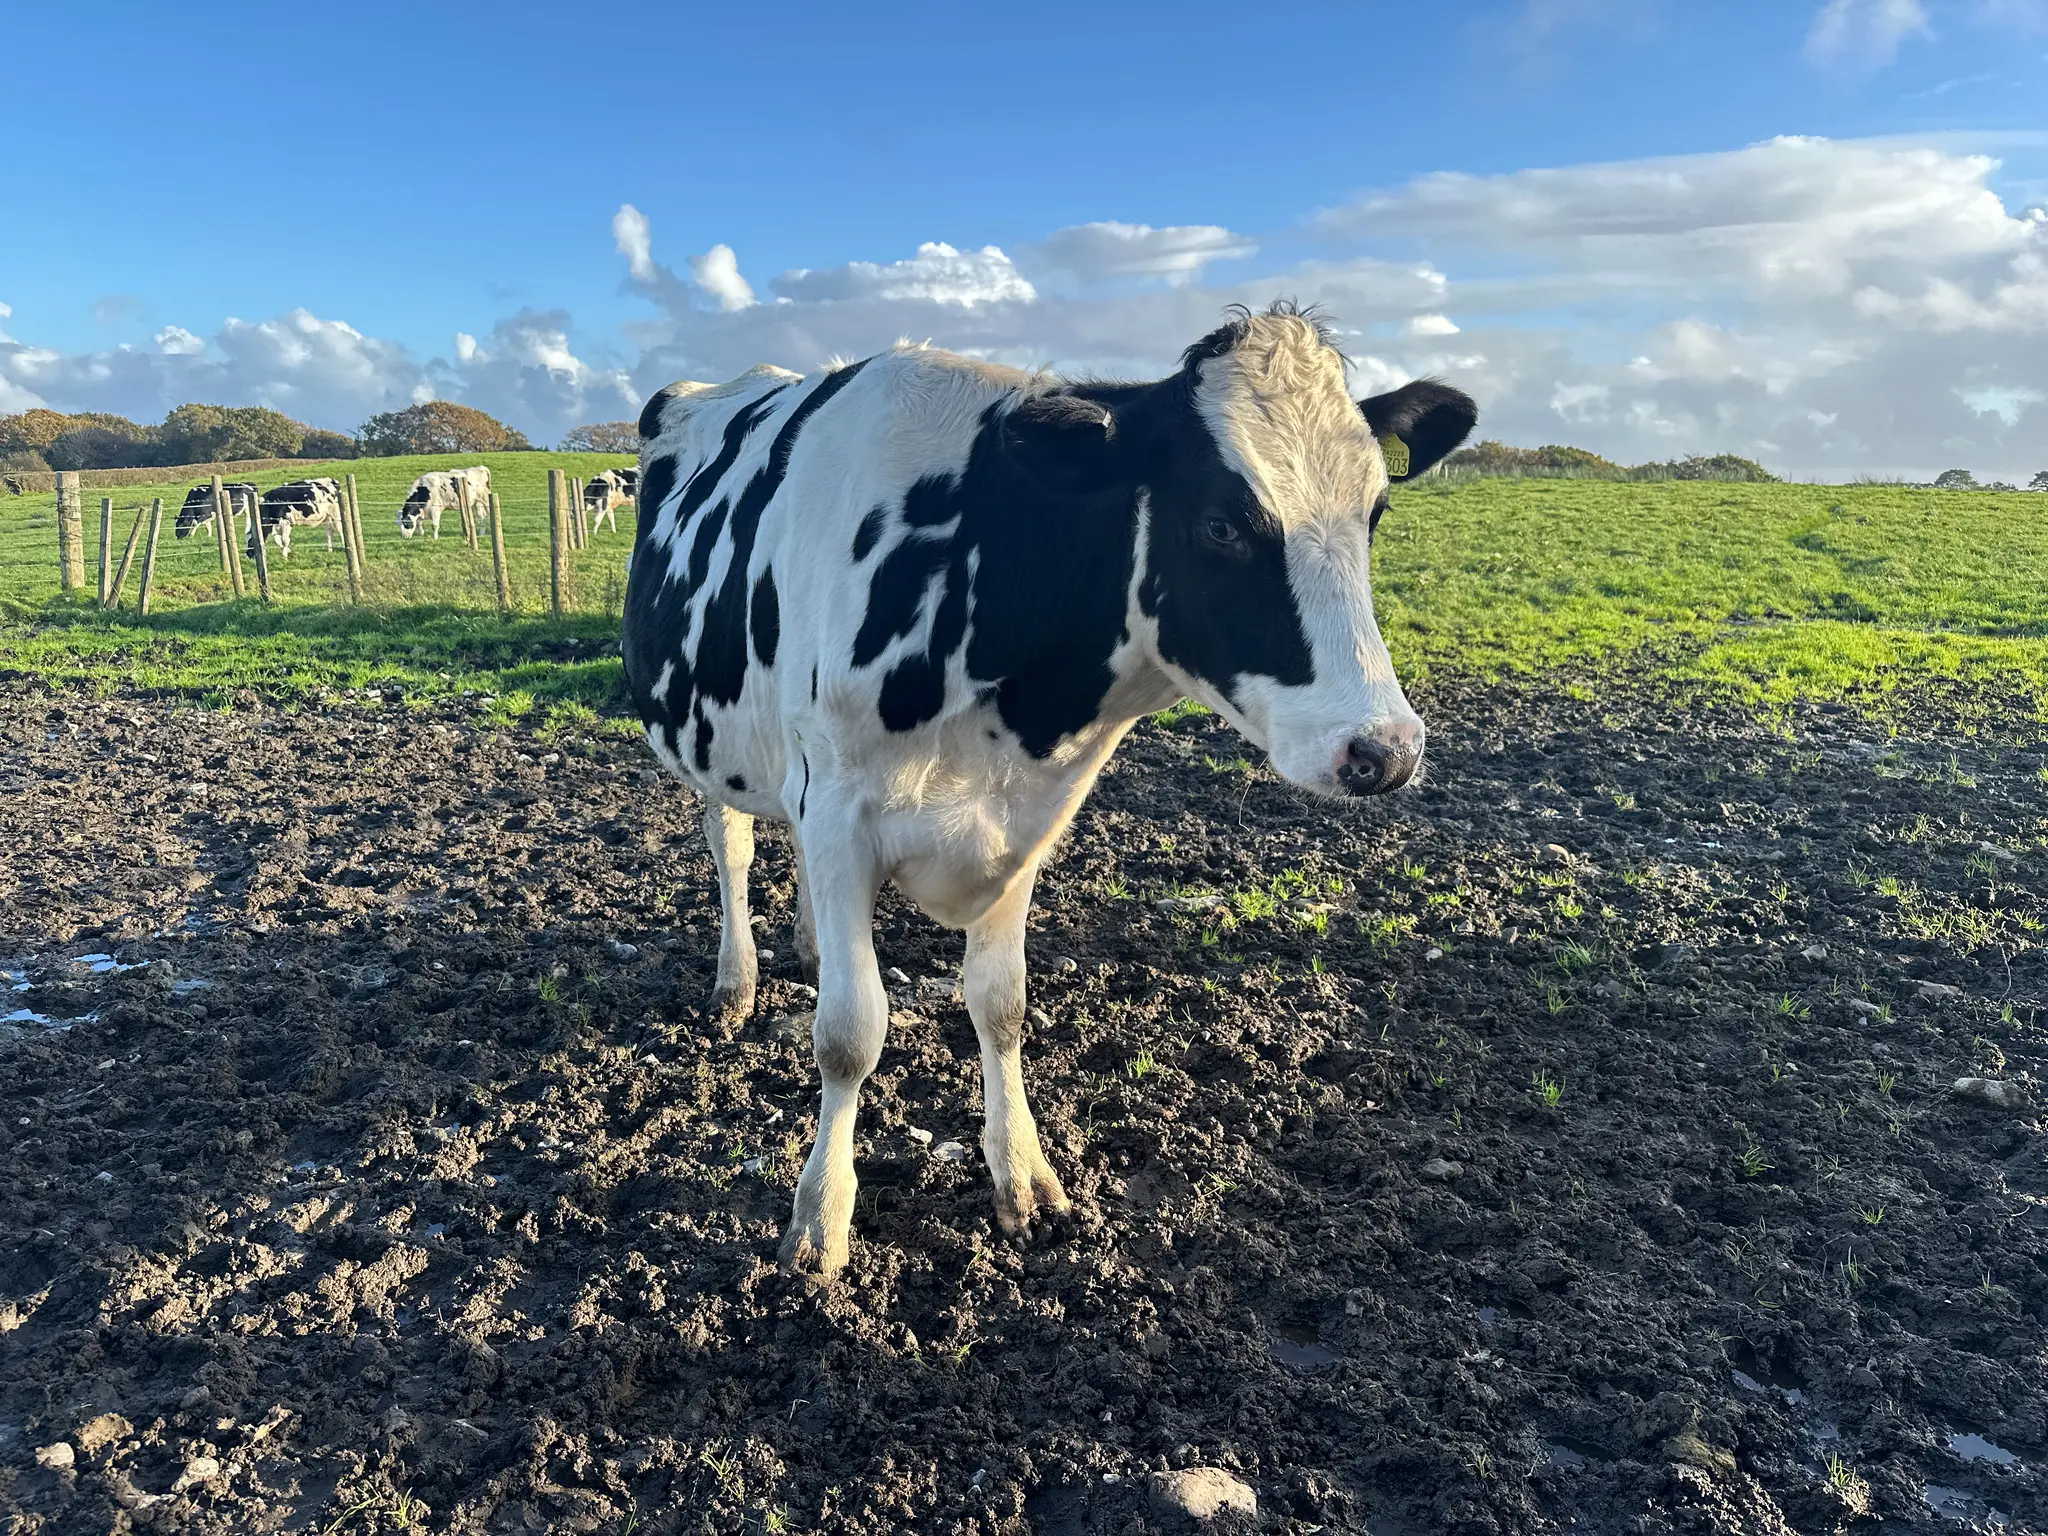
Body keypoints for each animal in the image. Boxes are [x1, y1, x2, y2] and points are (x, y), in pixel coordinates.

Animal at [622, 304, 1476, 1279]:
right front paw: (821, 1217)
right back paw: (738, 981)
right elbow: (848, 1032)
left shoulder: (1025, 816)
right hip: (710, 733)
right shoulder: (837, 802)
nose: (1388, 748)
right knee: (731, 845)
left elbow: (1002, 1006)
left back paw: (803, 945)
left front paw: (1022, 1175)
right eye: (1221, 525)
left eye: (1375, 512)